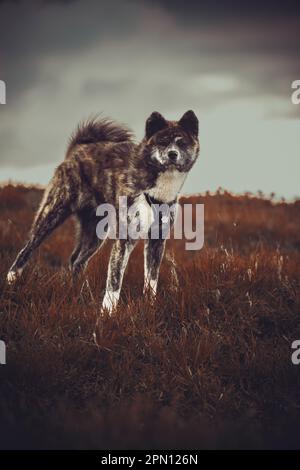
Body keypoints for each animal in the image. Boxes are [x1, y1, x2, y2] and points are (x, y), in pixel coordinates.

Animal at [7, 111, 199, 314]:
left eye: (181, 143)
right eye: (162, 142)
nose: (172, 154)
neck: (158, 189)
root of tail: (76, 150)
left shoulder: (157, 240)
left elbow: (151, 278)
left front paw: (150, 305)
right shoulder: (125, 239)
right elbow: (114, 280)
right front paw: (107, 313)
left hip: (95, 233)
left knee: (76, 261)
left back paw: (75, 291)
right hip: (52, 214)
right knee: (26, 250)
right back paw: (12, 281)